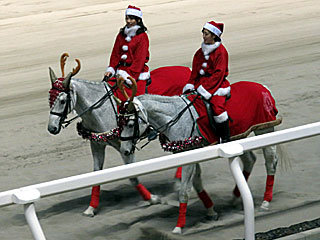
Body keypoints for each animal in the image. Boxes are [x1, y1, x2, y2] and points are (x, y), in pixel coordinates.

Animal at [47, 53, 188, 217]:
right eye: (50, 98)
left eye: (63, 100)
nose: (52, 128)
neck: (100, 109)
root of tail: (187, 70)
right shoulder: (97, 144)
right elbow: (96, 176)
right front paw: (91, 208)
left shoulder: (124, 146)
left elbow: (133, 176)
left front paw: (152, 198)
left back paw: (178, 180)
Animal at [118, 79, 282, 234]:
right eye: (120, 123)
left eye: (130, 124)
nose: (124, 150)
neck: (176, 119)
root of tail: (262, 87)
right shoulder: (190, 154)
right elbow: (196, 182)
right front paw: (211, 211)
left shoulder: (188, 157)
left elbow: (184, 190)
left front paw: (179, 226)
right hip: (239, 136)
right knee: (250, 160)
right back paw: (236, 197)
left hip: (264, 129)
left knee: (270, 162)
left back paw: (265, 202)